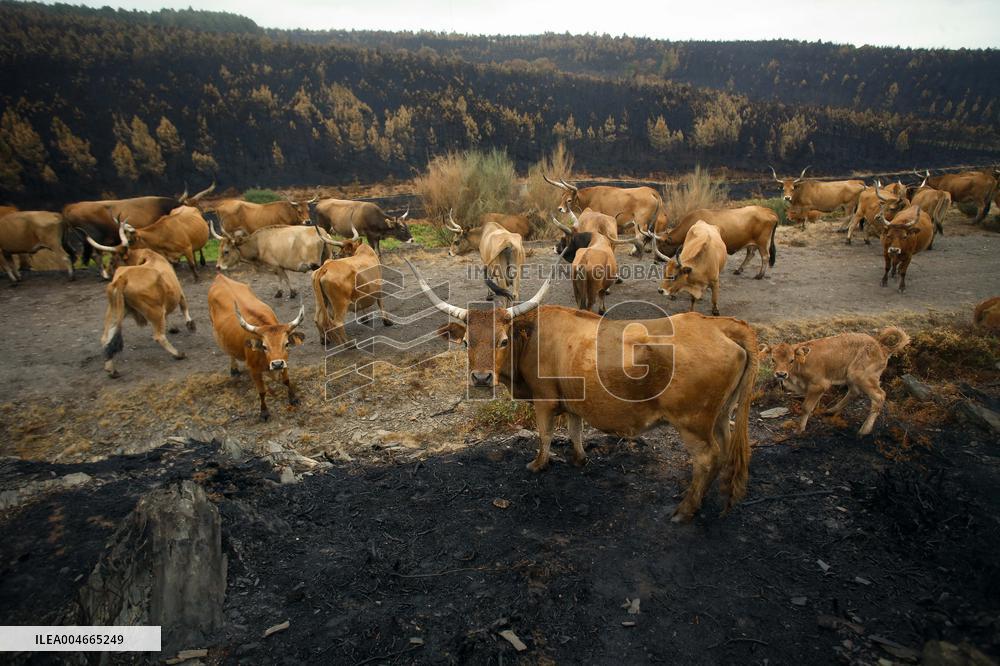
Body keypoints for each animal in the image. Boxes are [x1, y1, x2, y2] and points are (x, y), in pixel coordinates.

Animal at [90, 245, 194, 378]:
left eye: (112, 261)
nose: (106, 274)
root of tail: (123, 278)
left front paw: (173, 327)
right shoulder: (179, 292)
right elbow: (183, 306)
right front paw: (190, 324)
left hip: (115, 310)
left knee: (106, 338)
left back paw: (111, 370)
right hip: (155, 311)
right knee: (159, 336)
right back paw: (178, 354)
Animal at [208, 274, 305, 421]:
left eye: (287, 344)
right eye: (264, 346)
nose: (277, 364)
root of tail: (220, 277)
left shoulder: (285, 362)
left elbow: (287, 380)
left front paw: (293, 398)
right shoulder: (254, 370)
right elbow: (262, 392)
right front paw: (264, 412)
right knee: (230, 353)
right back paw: (234, 369)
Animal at [405, 258, 758, 522]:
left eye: (502, 341)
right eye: (466, 343)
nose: (480, 378)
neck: (532, 337)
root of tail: (722, 325)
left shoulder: (544, 401)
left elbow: (545, 434)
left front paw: (538, 465)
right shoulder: (574, 401)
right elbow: (575, 429)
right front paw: (578, 459)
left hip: (693, 424)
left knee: (707, 458)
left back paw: (685, 509)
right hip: (719, 415)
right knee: (724, 449)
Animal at [645, 205, 778, 279]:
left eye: (662, 245)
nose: (655, 260)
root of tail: (768, 211)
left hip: (762, 242)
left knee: (765, 257)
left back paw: (760, 275)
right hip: (752, 243)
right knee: (750, 254)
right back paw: (739, 270)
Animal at [759, 327, 910, 436]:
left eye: (791, 360)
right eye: (772, 359)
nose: (781, 374)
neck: (801, 364)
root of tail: (881, 347)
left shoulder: (819, 385)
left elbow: (806, 407)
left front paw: (799, 429)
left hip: (863, 377)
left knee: (879, 396)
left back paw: (864, 431)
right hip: (851, 376)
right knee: (854, 392)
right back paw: (831, 411)